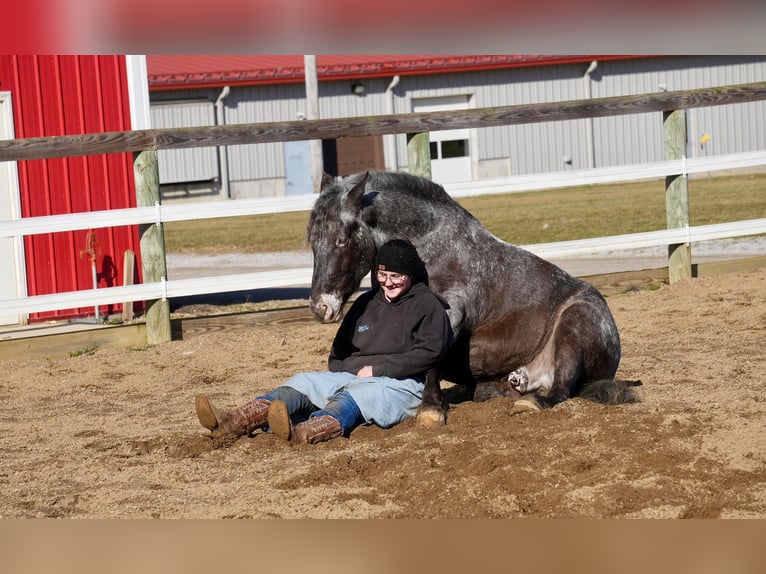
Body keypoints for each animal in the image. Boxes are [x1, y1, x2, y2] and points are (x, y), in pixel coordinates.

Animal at [307, 170, 637, 427]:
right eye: (312, 241)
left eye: (342, 239)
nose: (322, 307)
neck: (431, 252)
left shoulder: (450, 314)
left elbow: (432, 360)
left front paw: (430, 410)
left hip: (576, 320)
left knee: (562, 390)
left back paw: (531, 404)